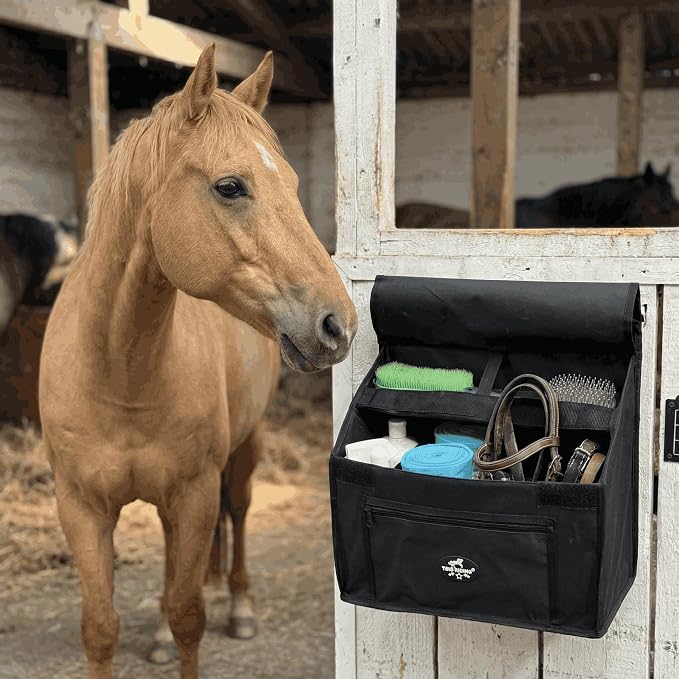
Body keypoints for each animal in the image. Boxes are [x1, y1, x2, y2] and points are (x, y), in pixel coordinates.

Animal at [38, 45, 357, 679]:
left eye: (291, 181)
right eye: (230, 186)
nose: (339, 324)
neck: (121, 373)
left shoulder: (194, 494)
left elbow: (189, 615)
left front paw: (200, 619)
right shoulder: (80, 506)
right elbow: (101, 627)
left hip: (243, 450)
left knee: (238, 512)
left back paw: (240, 606)